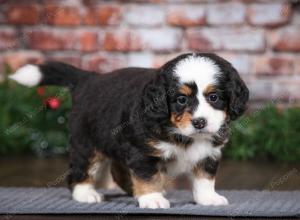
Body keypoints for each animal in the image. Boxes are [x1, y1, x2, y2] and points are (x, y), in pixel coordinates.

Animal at [9, 52, 248, 208]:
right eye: (181, 99)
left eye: (214, 97)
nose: (200, 122)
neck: (181, 133)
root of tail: (89, 78)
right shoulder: (142, 151)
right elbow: (147, 176)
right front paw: (152, 198)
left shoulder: (209, 153)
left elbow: (204, 178)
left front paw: (208, 198)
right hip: (86, 143)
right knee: (81, 170)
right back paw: (86, 194)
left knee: (118, 171)